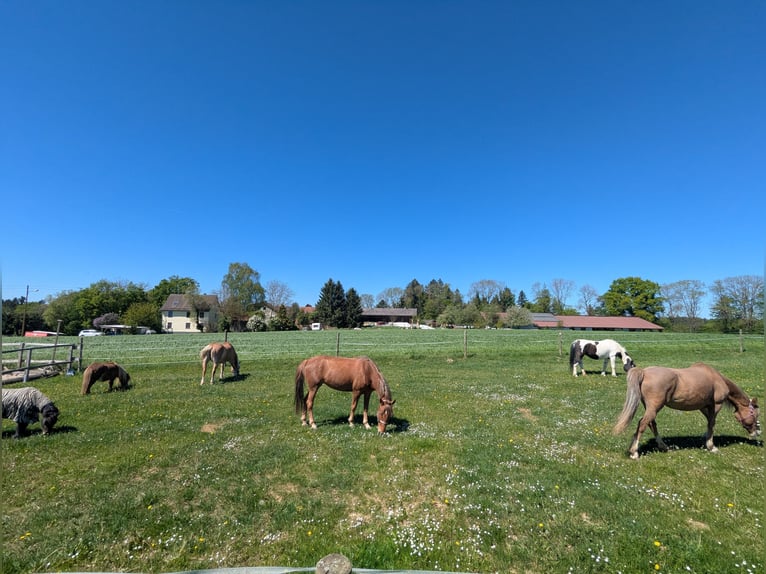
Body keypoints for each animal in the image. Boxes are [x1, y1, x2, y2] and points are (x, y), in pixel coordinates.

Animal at [613, 362, 760, 459]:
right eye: (754, 414)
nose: (757, 432)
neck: (716, 378)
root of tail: (644, 372)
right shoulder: (716, 405)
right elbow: (712, 424)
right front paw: (711, 446)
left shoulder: (704, 406)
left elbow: (709, 423)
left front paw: (706, 439)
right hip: (654, 408)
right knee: (642, 424)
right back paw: (634, 452)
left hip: (651, 408)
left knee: (651, 424)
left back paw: (663, 446)